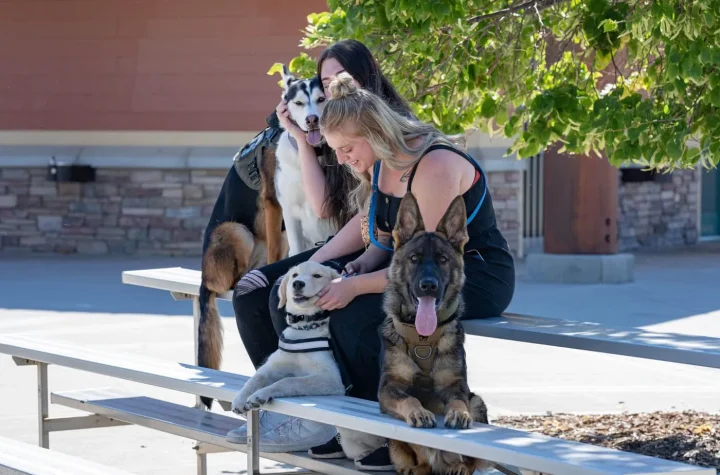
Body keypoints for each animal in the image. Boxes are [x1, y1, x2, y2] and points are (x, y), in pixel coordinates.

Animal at [231, 260, 388, 464]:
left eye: (317, 276)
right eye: (295, 275)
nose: (298, 284)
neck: (305, 328)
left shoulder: (330, 379)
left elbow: (288, 381)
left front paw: (261, 395)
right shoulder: (272, 367)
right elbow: (255, 379)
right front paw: (241, 398)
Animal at [274, 67, 338, 256]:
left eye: (321, 99)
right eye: (298, 103)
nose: (312, 120)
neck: (312, 153)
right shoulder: (289, 210)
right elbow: (296, 249)